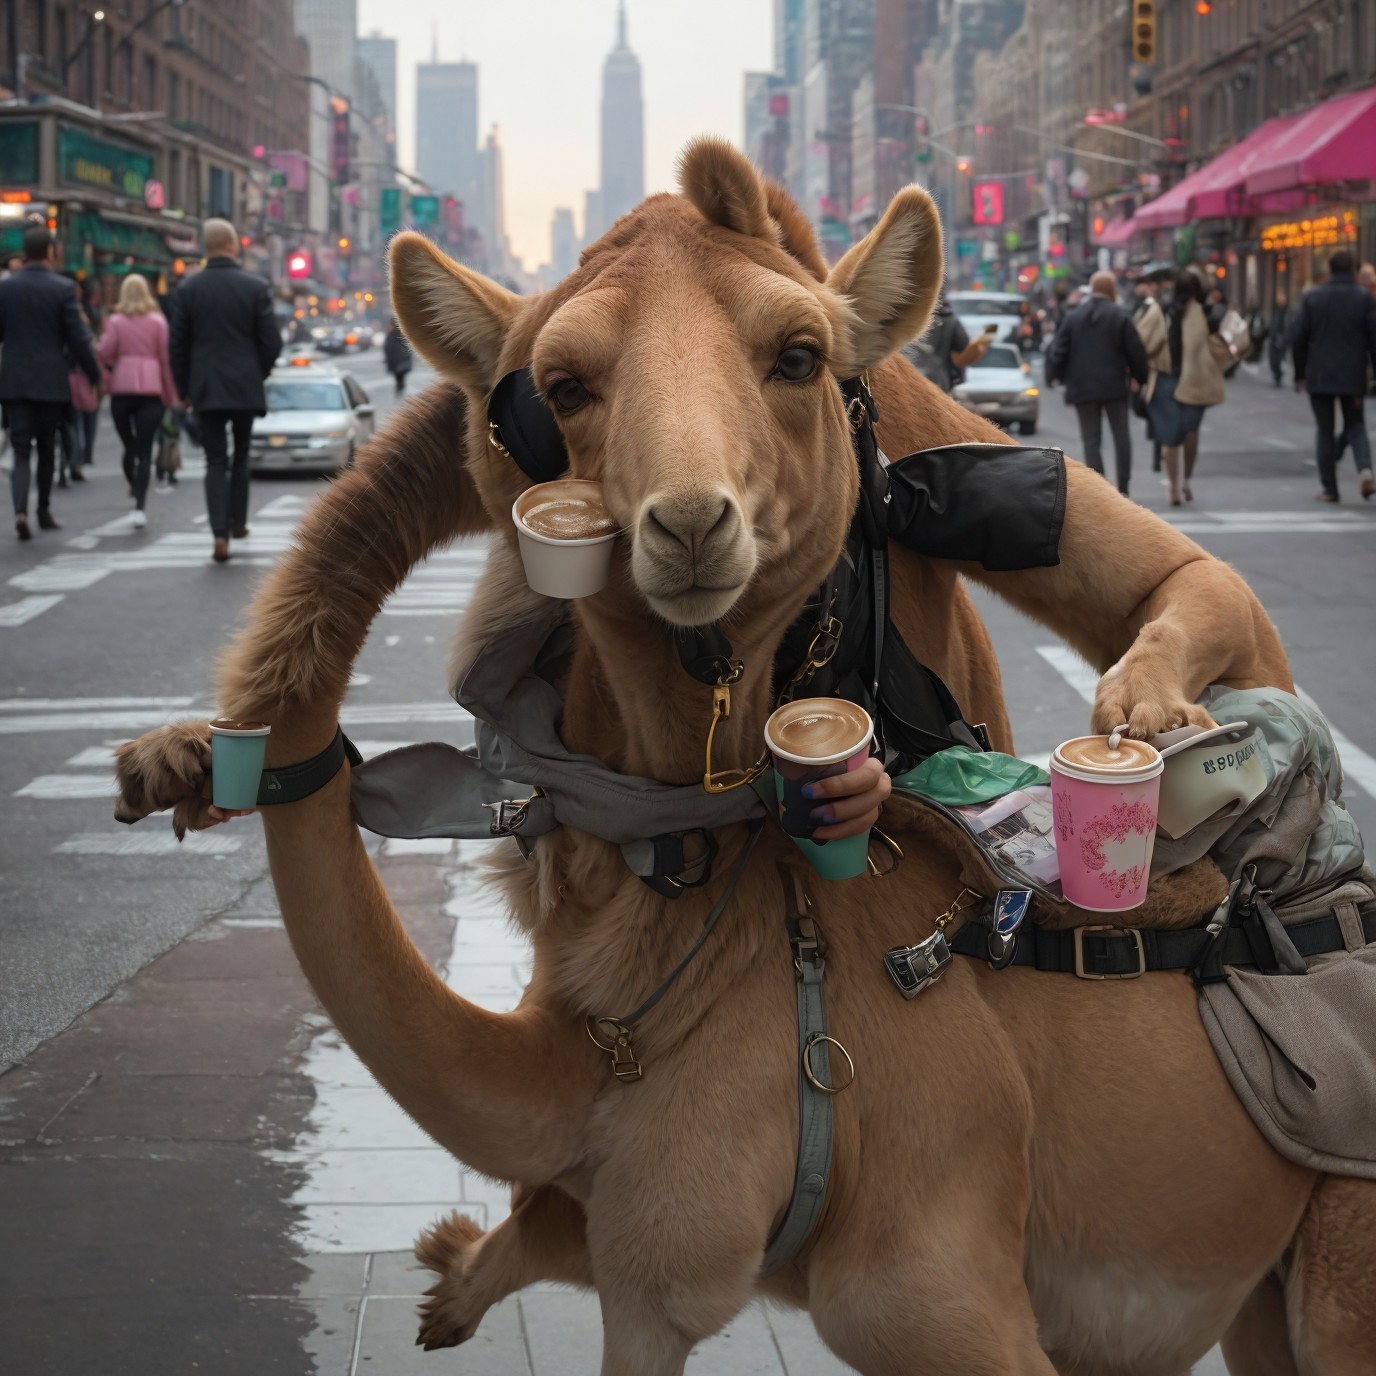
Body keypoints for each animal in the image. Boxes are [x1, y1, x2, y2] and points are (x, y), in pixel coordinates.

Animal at [112, 140, 1376, 1375]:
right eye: (560, 391)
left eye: (798, 355)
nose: (686, 522)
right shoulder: (648, 1259)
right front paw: (448, 1284)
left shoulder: (927, 1285)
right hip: (1261, 1290)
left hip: (1326, 1271)